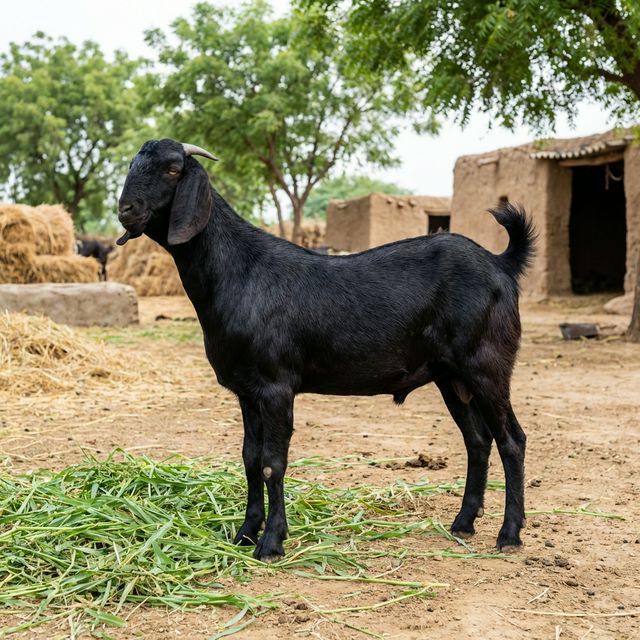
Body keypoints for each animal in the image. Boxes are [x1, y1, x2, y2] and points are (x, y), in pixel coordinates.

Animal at [118, 139, 536, 562]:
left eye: (173, 170)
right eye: (133, 165)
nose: (125, 210)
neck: (241, 271)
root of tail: (501, 264)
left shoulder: (276, 386)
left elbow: (272, 463)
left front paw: (272, 543)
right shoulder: (246, 391)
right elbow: (250, 459)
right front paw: (245, 534)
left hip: (486, 366)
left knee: (512, 441)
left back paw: (509, 534)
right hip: (451, 378)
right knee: (477, 441)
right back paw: (463, 523)